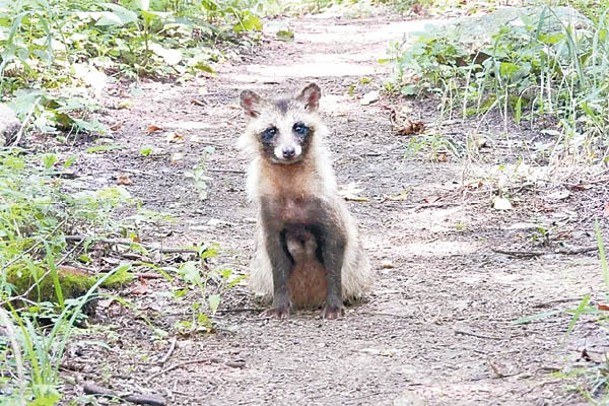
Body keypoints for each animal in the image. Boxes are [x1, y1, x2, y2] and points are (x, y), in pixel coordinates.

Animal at [238, 81, 370, 318]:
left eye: (298, 127)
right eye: (271, 130)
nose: (288, 151)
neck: (289, 178)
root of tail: (308, 301)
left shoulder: (328, 212)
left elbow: (336, 254)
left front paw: (334, 302)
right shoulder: (269, 218)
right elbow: (276, 263)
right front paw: (280, 302)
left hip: (359, 269)